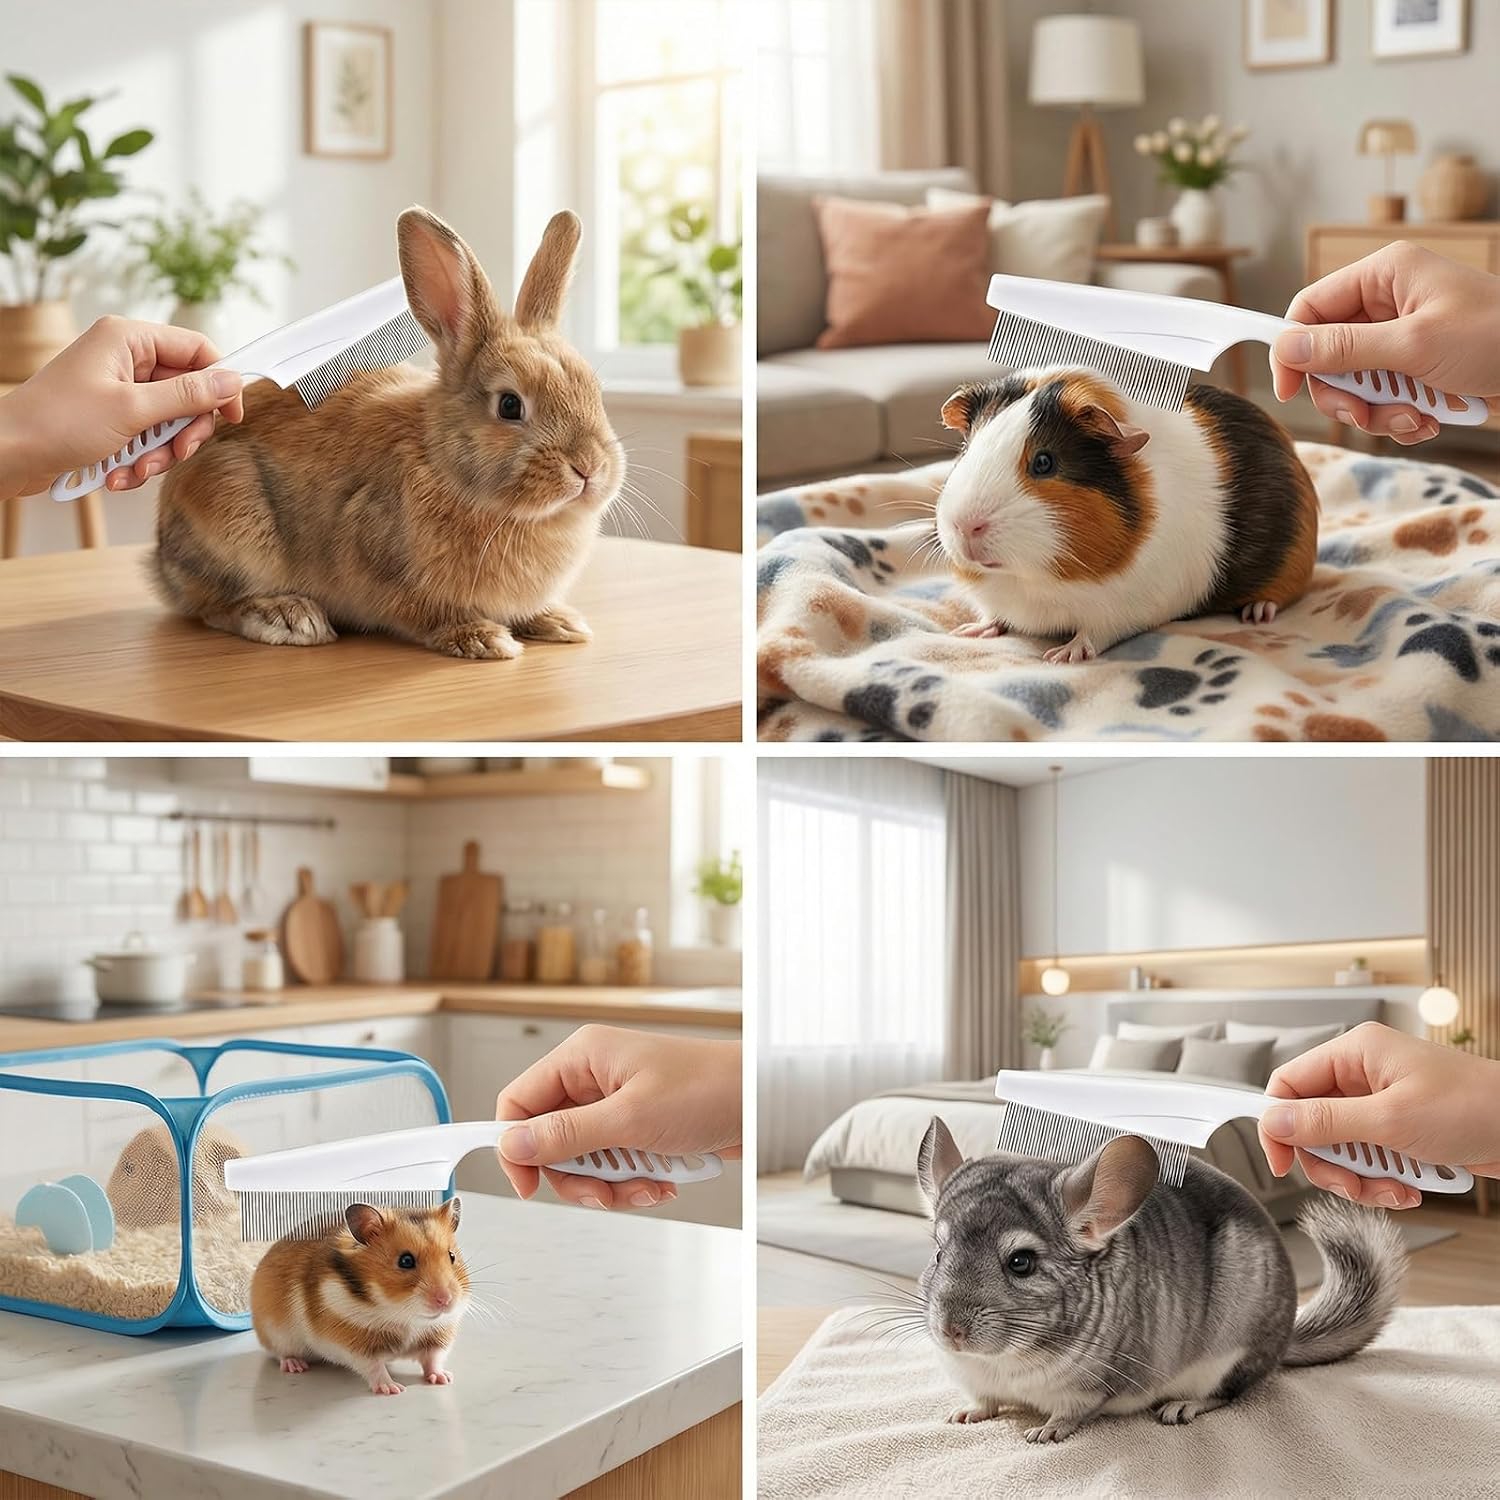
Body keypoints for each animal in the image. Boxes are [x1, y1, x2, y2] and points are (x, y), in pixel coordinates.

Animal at [151, 207, 625, 660]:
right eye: (510, 405)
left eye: (593, 390)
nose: (589, 468)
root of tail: (159, 558)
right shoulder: (382, 566)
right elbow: (426, 613)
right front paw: (483, 638)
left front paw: (559, 622)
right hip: (231, 516)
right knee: (213, 605)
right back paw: (289, 617)